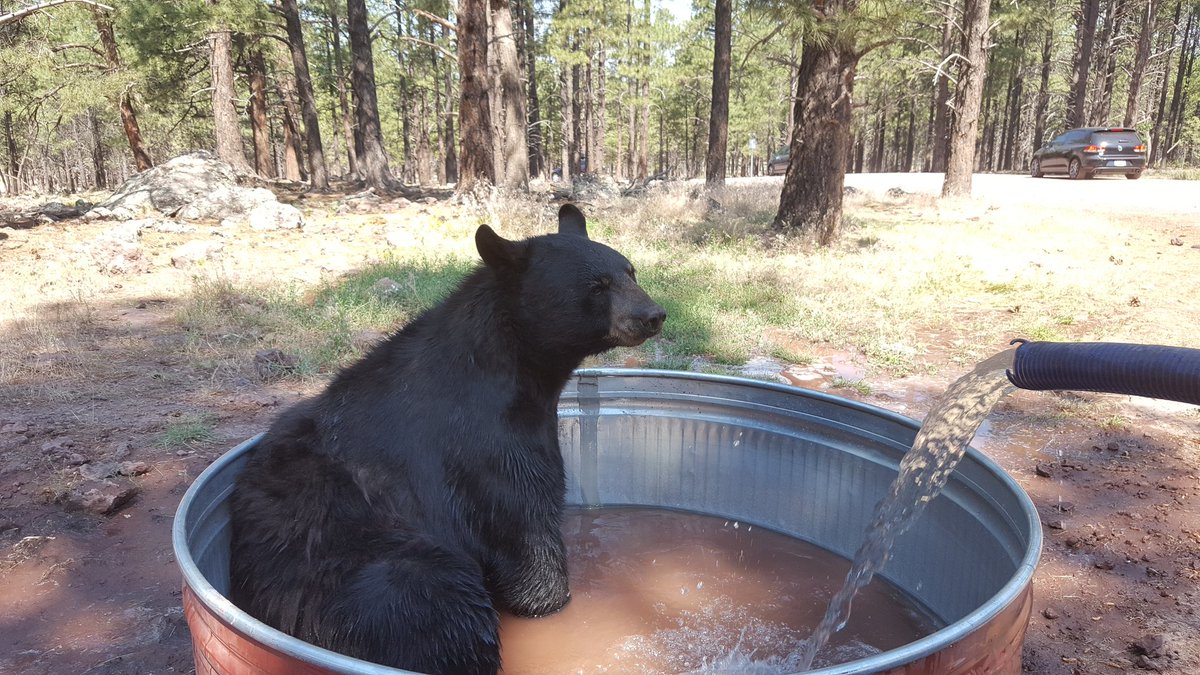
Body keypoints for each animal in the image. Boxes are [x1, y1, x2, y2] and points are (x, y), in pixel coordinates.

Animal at [228, 203, 665, 674]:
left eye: (630, 271)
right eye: (597, 286)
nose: (653, 314)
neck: (514, 369)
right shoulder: (484, 451)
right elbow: (528, 534)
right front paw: (550, 599)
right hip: (388, 579)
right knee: (440, 611)